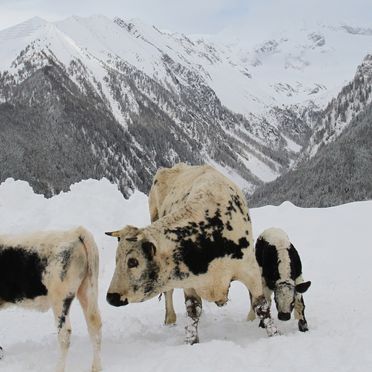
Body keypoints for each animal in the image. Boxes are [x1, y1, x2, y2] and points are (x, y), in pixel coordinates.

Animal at [0, 225, 101, 370]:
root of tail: (75, 232)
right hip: (88, 290)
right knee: (94, 325)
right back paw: (96, 367)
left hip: (60, 298)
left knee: (65, 334)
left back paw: (58, 368)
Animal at [106, 164, 278, 344]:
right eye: (116, 259)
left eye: (133, 261)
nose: (111, 297)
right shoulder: (187, 279)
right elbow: (193, 308)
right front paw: (192, 341)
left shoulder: (249, 270)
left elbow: (261, 306)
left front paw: (274, 334)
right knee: (168, 293)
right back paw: (170, 319)